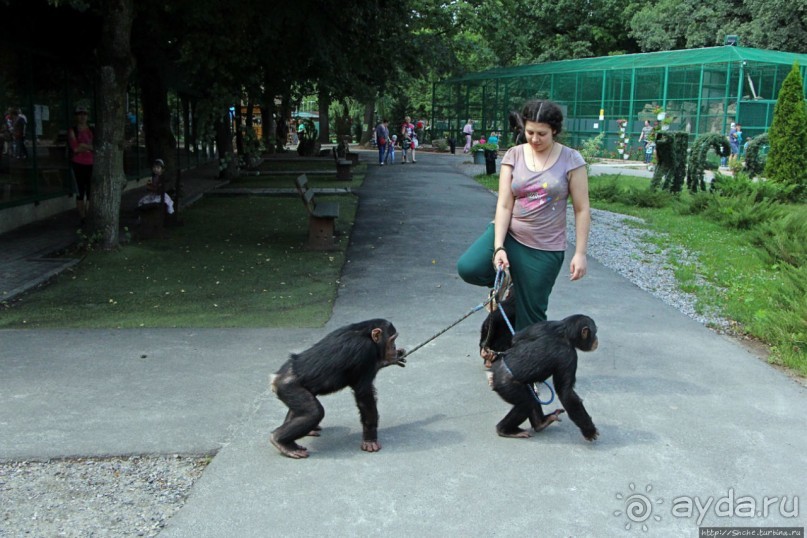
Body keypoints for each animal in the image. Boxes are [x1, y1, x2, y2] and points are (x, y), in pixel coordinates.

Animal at [270, 318, 408, 456]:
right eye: (392, 339)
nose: (394, 347)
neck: (366, 334)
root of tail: (275, 377)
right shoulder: (364, 350)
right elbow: (364, 394)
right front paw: (370, 439)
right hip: (289, 387)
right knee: (314, 412)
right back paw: (281, 441)